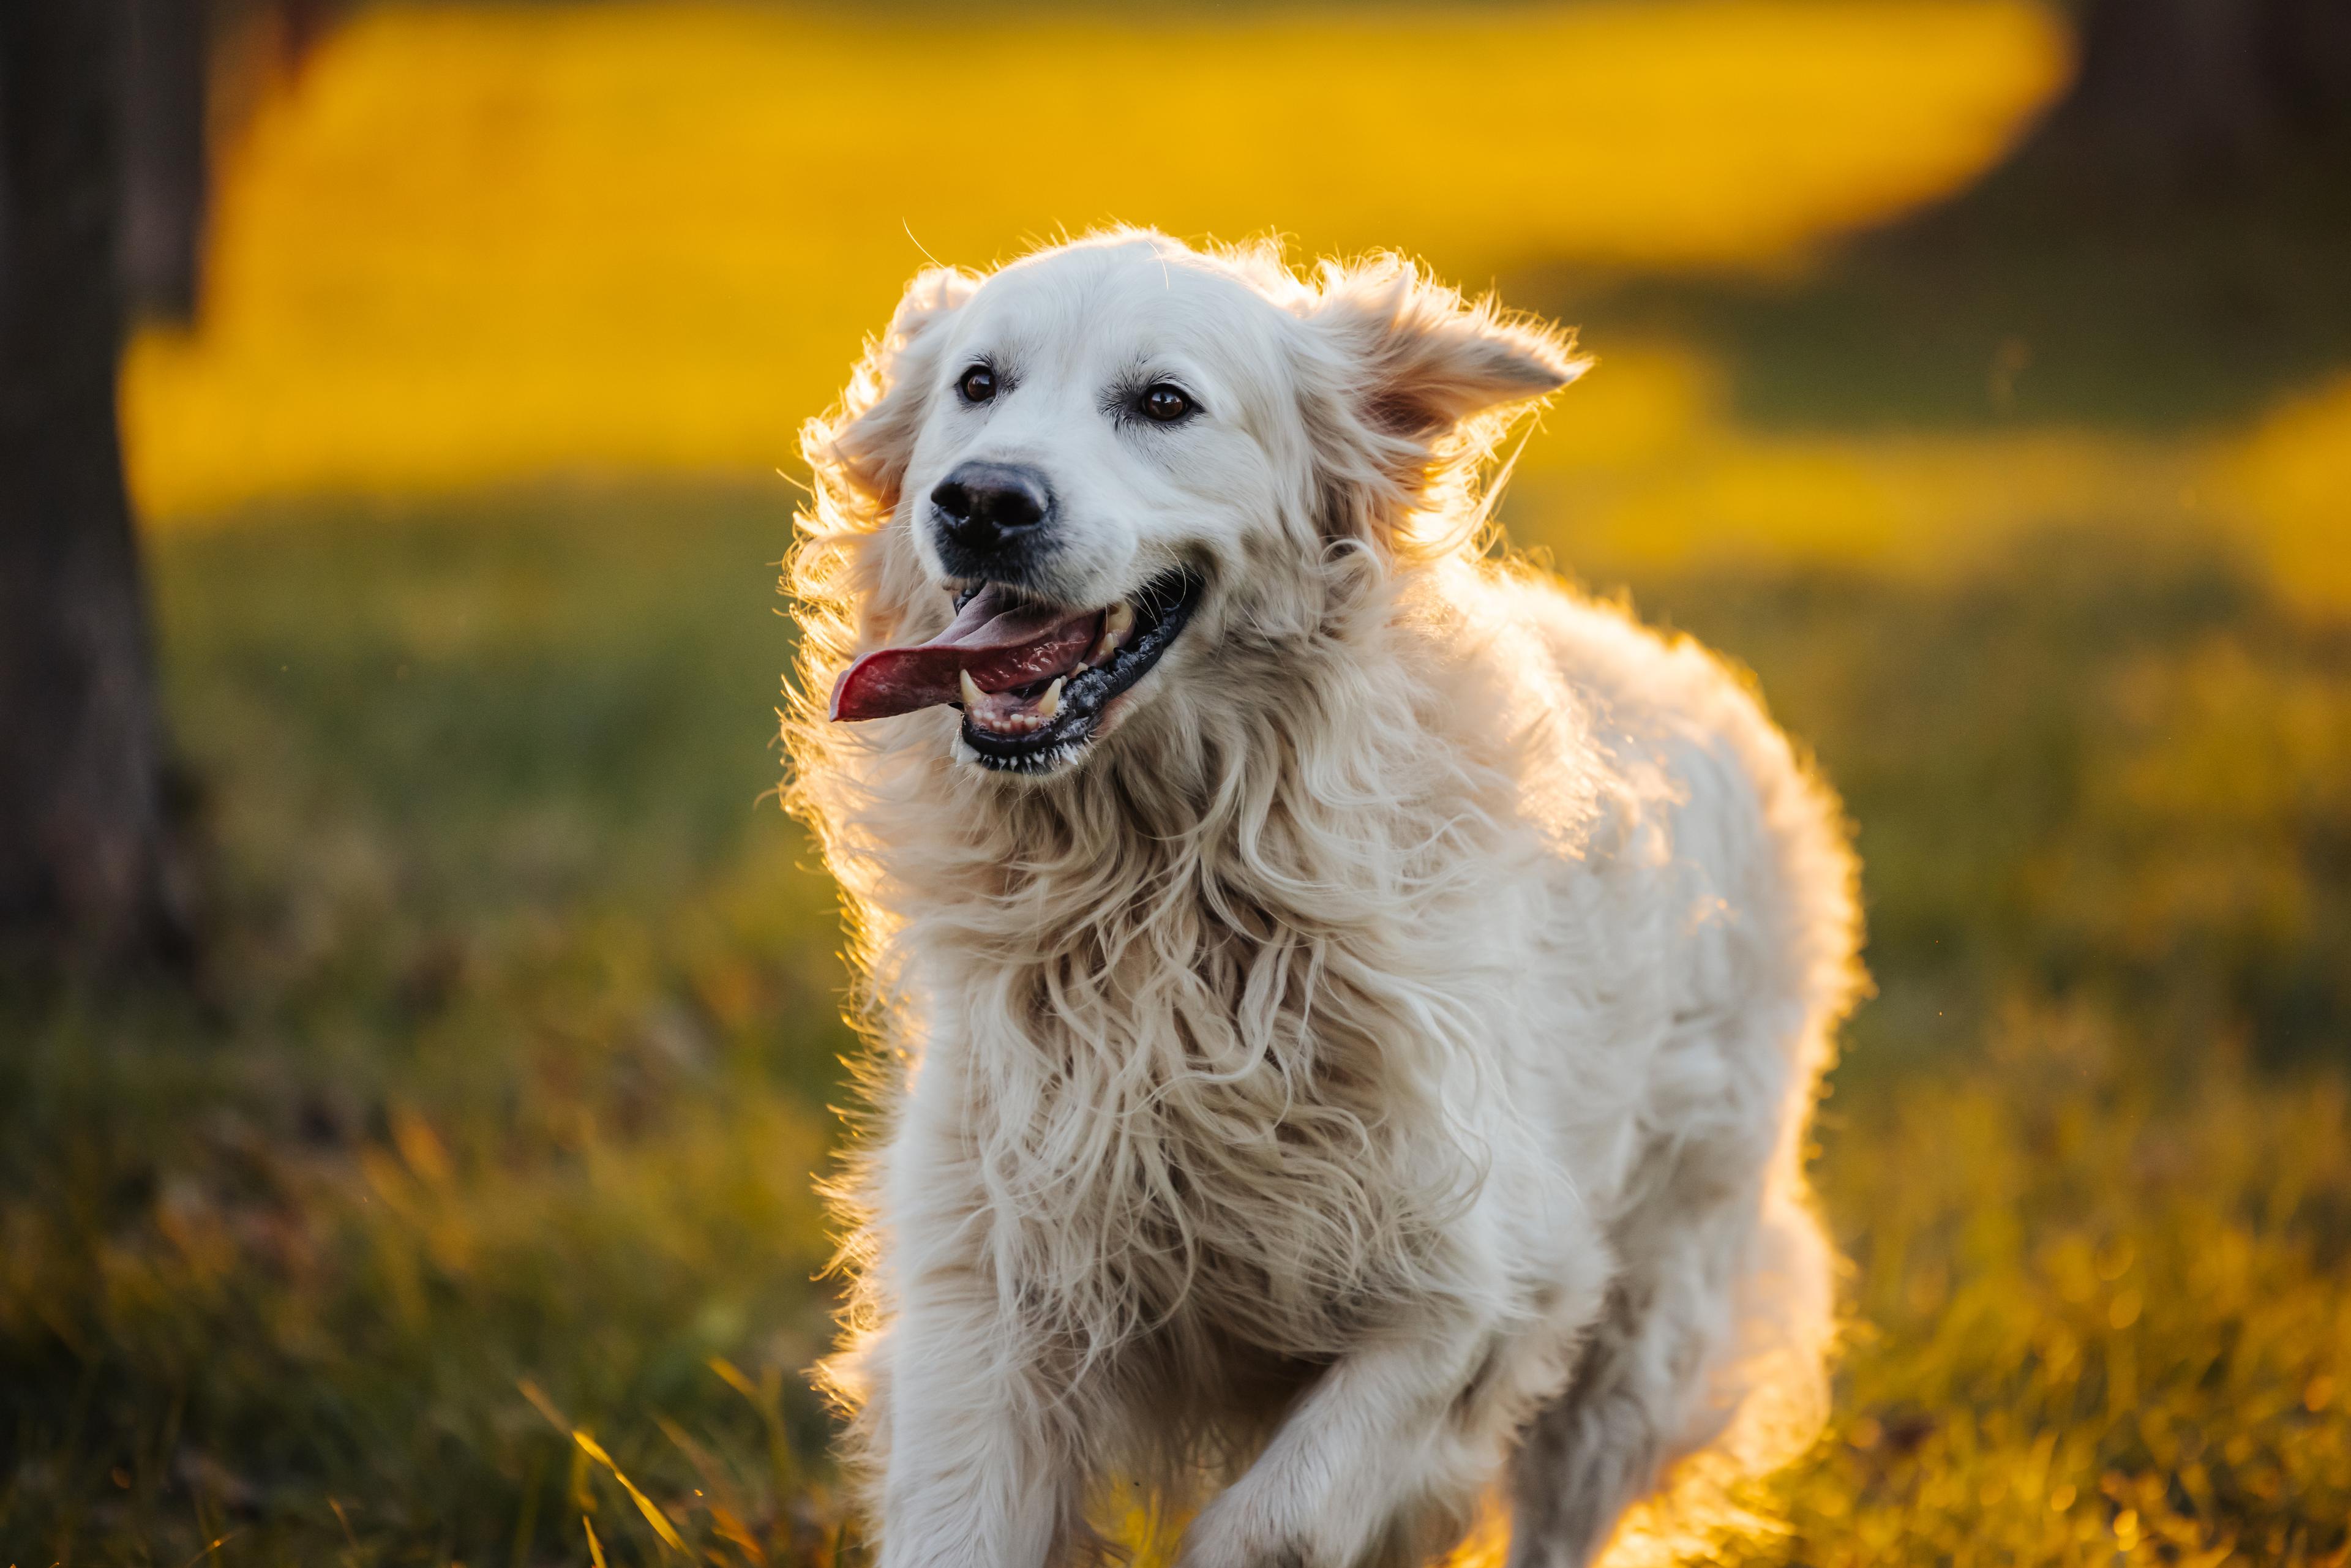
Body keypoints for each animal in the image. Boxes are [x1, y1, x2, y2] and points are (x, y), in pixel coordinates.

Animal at [780, 230, 1862, 1568]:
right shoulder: (983, 1280)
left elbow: (1273, 1524)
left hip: (1646, 1325)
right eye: (978, 383)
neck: (1168, 895)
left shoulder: (1480, 1287)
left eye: (1164, 402)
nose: (982, 501)